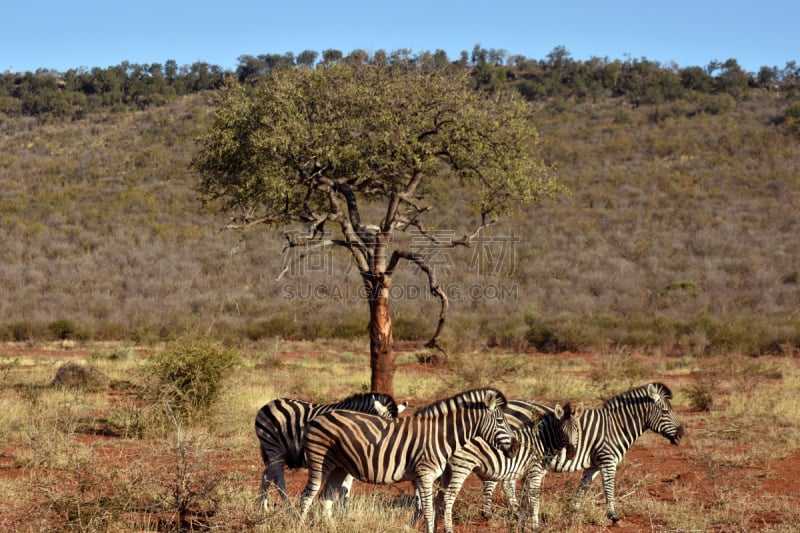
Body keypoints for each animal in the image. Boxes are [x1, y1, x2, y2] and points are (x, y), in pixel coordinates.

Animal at [255, 390, 406, 508]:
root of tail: (269, 404)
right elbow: (344, 488)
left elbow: (346, 489)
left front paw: (343, 512)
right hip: (274, 449)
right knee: (279, 481)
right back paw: (289, 510)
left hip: (277, 452)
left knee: (266, 475)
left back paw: (263, 507)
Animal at [296, 386, 516, 532]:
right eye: (500, 421)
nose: (515, 448)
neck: (441, 436)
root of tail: (316, 418)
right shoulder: (425, 475)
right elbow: (429, 511)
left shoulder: (422, 477)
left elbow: (428, 507)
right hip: (320, 461)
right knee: (307, 496)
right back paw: (300, 526)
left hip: (339, 466)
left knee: (326, 497)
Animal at [438, 402, 580, 528]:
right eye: (562, 431)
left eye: (577, 431)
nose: (571, 454)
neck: (542, 441)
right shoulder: (535, 472)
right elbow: (534, 501)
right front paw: (535, 526)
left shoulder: (526, 475)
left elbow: (525, 501)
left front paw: (522, 523)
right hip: (461, 467)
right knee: (448, 497)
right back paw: (448, 528)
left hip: (447, 471)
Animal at [488, 382, 688, 524]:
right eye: (665, 411)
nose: (681, 434)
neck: (617, 426)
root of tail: (504, 407)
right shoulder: (608, 460)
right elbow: (609, 487)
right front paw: (613, 516)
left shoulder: (593, 465)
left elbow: (582, 488)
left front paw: (572, 513)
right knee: (504, 481)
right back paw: (503, 512)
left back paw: (513, 512)